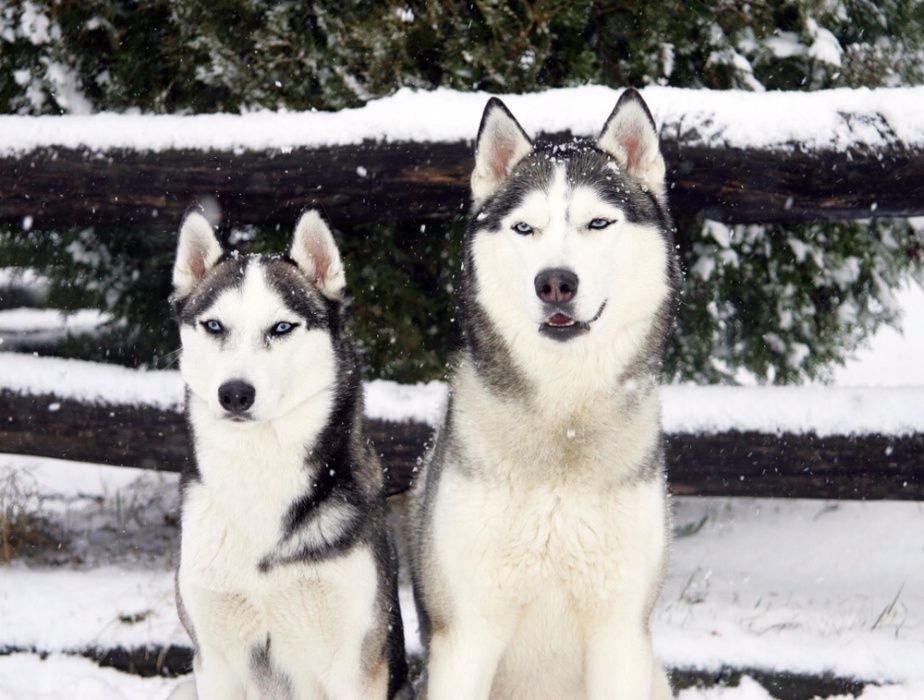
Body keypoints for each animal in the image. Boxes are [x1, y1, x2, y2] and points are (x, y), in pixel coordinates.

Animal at [170, 211, 408, 696]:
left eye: (281, 327)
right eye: (214, 326)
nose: (234, 394)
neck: (259, 468)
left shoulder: (356, 663)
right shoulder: (213, 660)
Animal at [412, 89, 680, 700]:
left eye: (597, 222)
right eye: (524, 228)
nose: (555, 282)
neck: (564, 425)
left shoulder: (621, 634)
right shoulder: (466, 634)